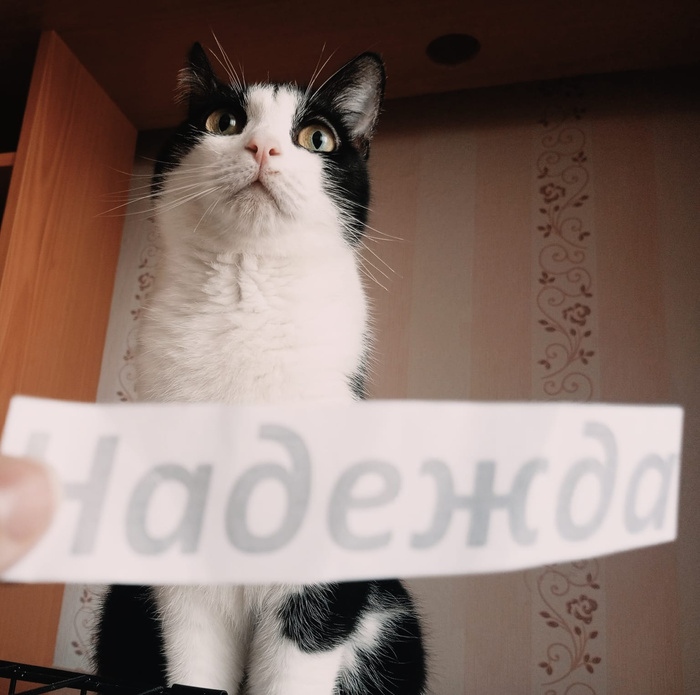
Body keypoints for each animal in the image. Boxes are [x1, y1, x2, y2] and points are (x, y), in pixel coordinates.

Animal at [93, 43, 427, 695]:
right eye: (224, 122)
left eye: (316, 137)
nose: (262, 148)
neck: (247, 298)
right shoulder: (179, 549)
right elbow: (192, 665)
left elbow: (300, 657)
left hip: (395, 618)